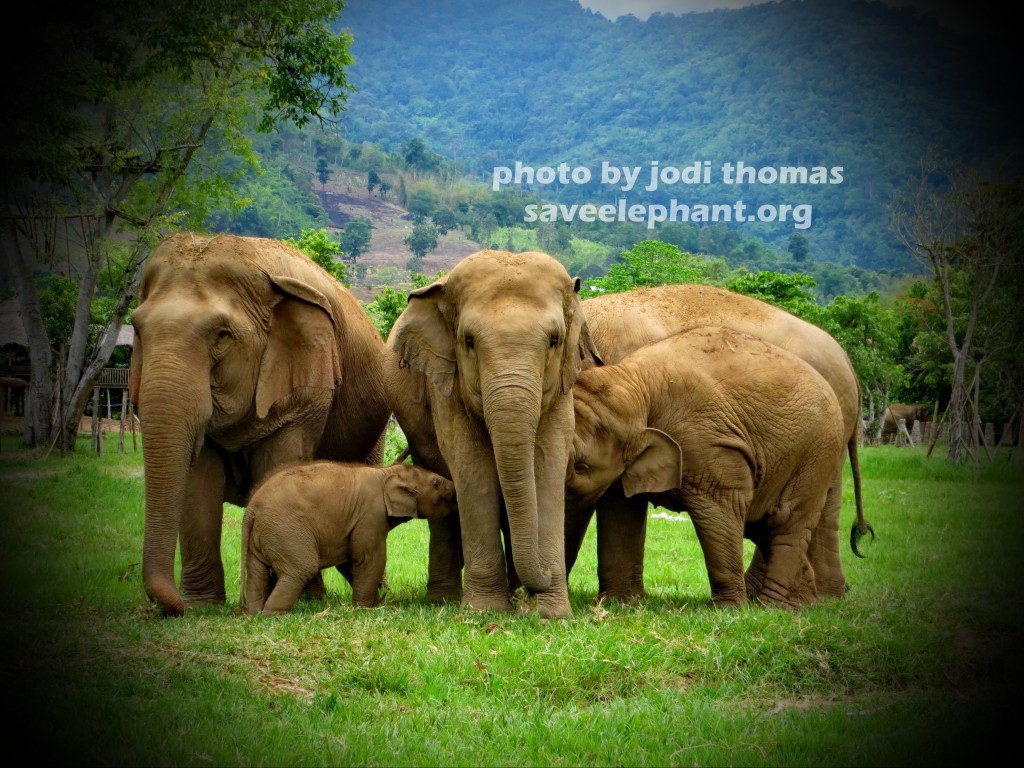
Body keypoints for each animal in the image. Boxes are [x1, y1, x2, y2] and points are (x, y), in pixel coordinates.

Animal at [124, 231, 387, 618]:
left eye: (222, 335)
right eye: (137, 330)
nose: (175, 607)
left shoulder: (307, 387)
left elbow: (279, 466)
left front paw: (293, 600)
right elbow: (198, 480)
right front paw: (203, 606)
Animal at [239, 460, 456, 618]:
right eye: (436, 483)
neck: (386, 472)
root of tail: (252, 508)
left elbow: (349, 562)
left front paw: (375, 603)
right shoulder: (371, 513)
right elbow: (369, 558)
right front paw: (364, 608)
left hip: (262, 536)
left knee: (257, 572)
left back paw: (253, 613)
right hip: (286, 531)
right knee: (301, 568)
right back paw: (273, 616)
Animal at [385, 249, 598, 622]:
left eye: (554, 341)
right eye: (468, 342)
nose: (542, 576)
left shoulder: (561, 387)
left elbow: (548, 463)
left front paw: (551, 615)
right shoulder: (447, 383)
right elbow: (473, 468)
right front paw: (484, 612)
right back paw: (444, 600)